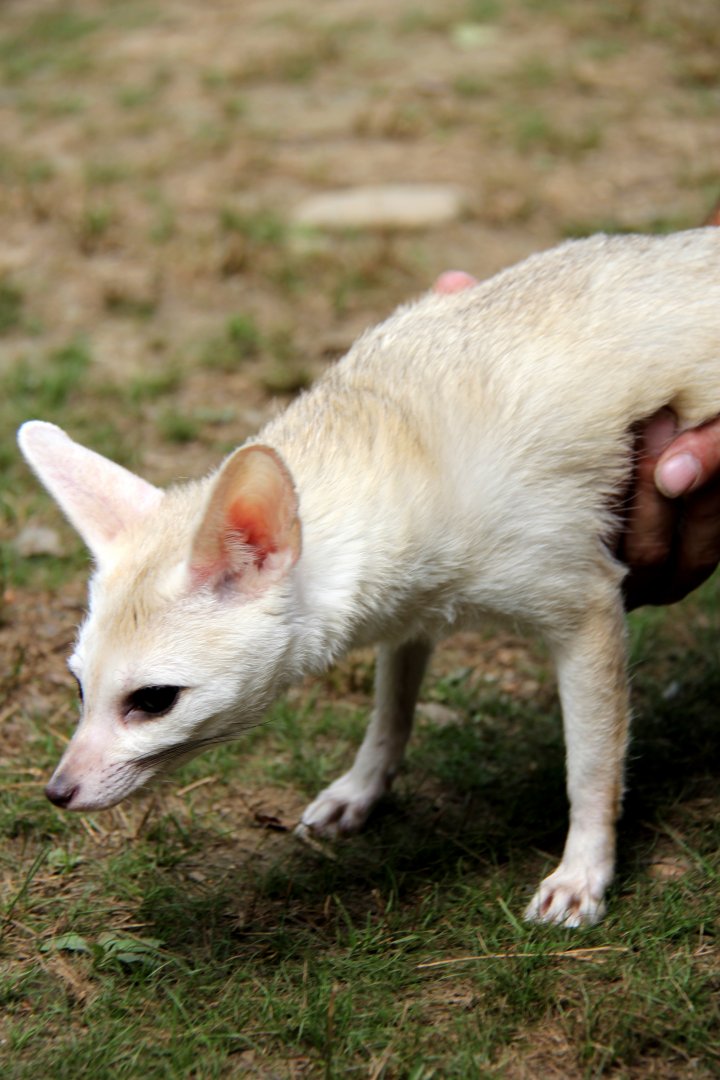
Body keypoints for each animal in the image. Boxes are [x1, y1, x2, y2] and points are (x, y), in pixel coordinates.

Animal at [17, 228, 720, 928]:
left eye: (155, 700)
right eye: (78, 686)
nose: (56, 792)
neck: (407, 444)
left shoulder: (586, 605)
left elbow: (590, 767)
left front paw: (583, 872)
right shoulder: (411, 612)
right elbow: (390, 715)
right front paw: (362, 788)